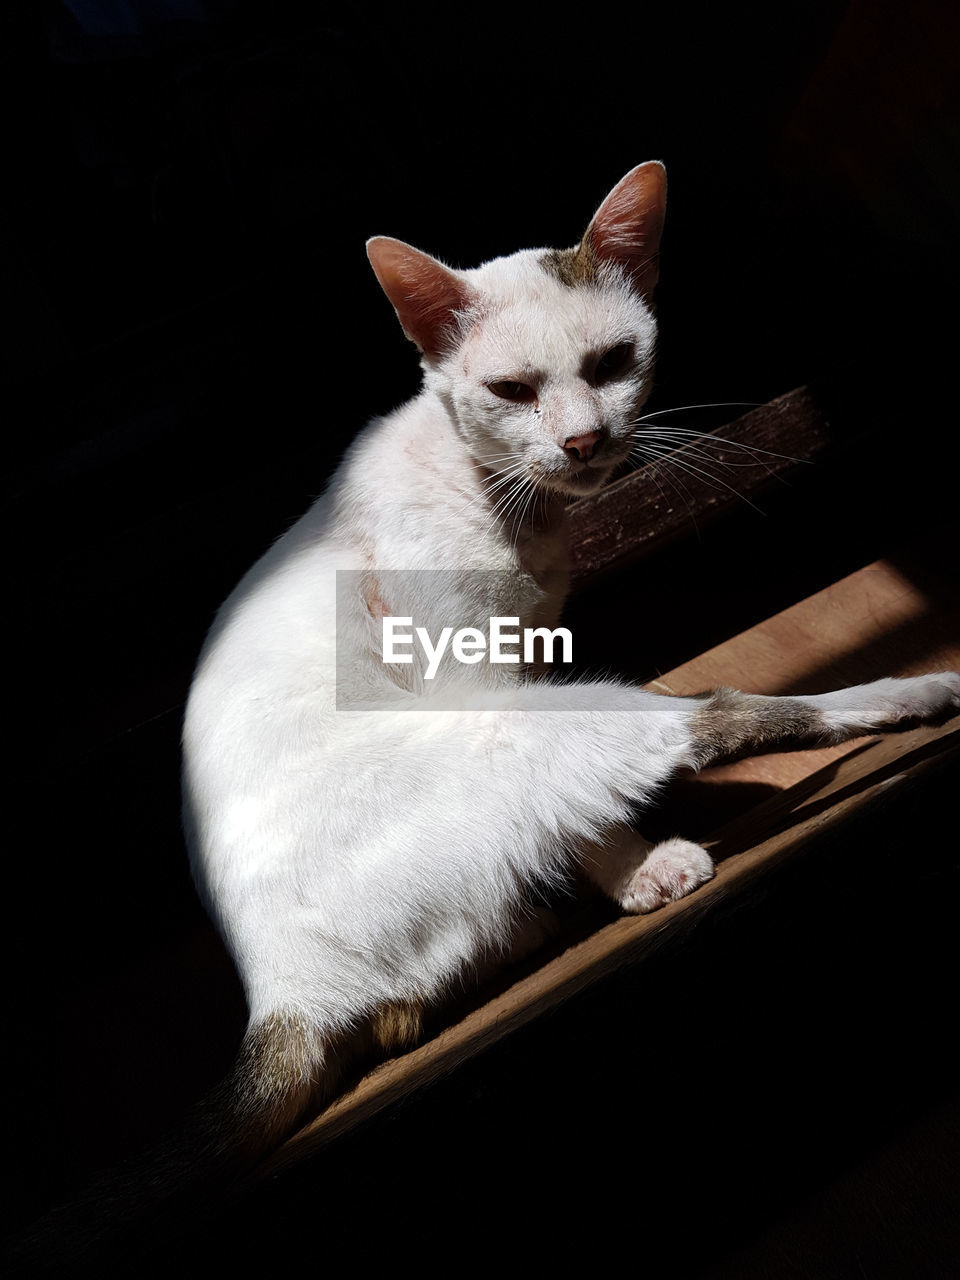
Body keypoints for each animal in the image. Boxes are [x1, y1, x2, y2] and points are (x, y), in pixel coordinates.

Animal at [22, 162, 960, 1269]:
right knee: (725, 714)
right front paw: (639, 874)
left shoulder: (526, 651)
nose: (587, 439)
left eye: (613, 363)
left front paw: (624, 873)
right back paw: (914, 691)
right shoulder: (480, 675)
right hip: (531, 720)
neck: (518, 510)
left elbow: (579, 819)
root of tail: (277, 992)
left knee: (419, 989)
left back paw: (528, 926)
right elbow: (597, 811)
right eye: (513, 391)